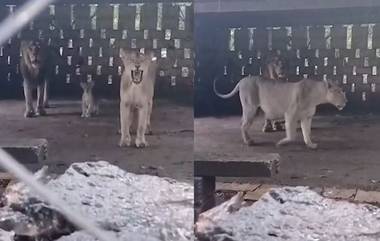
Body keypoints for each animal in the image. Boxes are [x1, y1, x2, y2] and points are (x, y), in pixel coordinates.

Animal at [214, 76, 348, 149]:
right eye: (338, 91)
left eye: (342, 91)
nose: (346, 101)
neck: (317, 96)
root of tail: (242, 80)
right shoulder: (290, 114)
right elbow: (292, 135)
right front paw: (280, 143)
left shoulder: (307, 117)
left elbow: (307, 132)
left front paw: (310, 144)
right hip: (250, 107)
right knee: (243, 125)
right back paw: (249, 142)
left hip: (248, 109)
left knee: (242, 123)